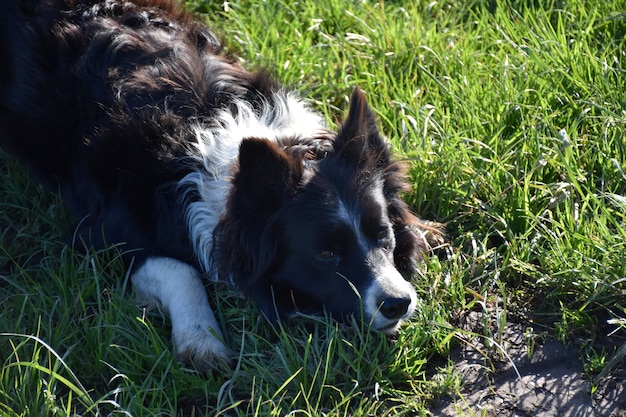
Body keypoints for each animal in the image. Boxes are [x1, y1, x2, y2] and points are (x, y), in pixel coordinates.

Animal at [0, 0, 442, 370]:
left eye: (382, 234)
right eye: (326, 253)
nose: (398, 303)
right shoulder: (99, 232)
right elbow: (181, 269)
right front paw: (201, 340)